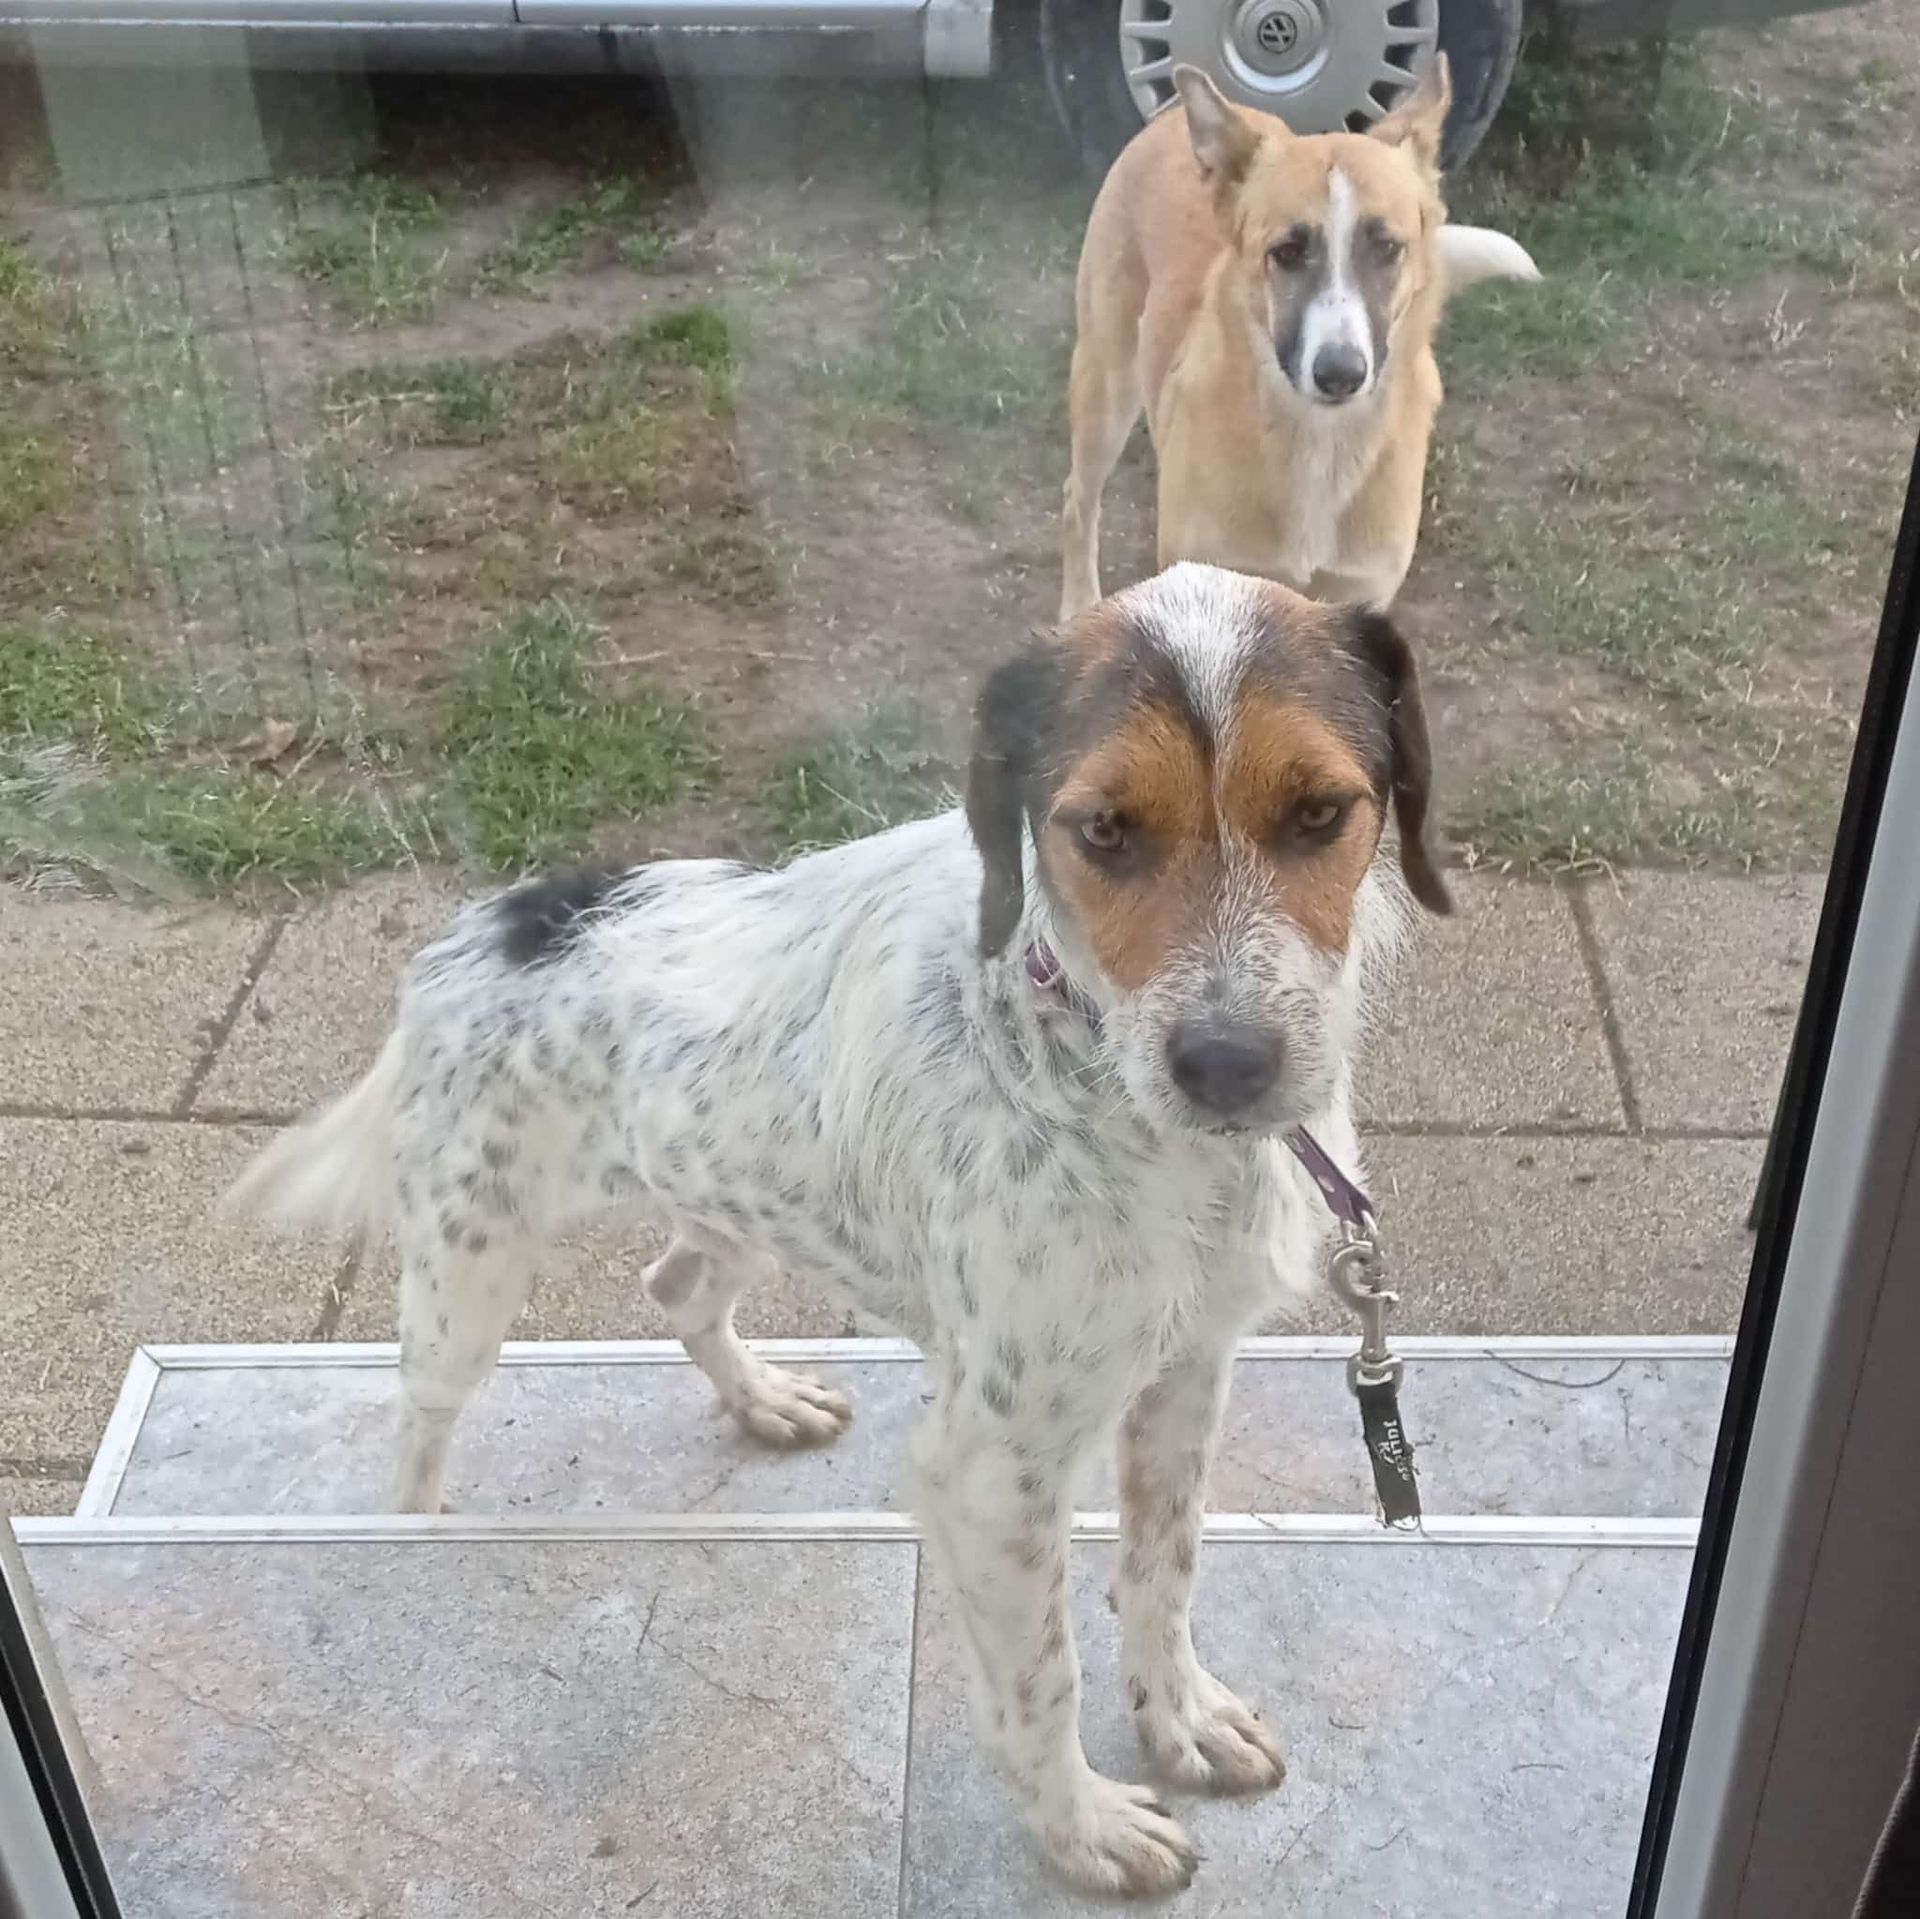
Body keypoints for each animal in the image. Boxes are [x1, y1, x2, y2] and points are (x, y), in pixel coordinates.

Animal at [228, 562, 1452, 1897]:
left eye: (1321, 811)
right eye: (1103, 830)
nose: (1230, 1067)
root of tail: (491, 919)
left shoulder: (1185, 1373)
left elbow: (1161, 1569)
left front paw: (1177, 1716)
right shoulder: (994, 1465)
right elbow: (1042, 1678)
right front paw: (1079, 1826)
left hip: (736, 1191)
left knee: (677, 1285)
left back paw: (762, 1398)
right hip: (468, 1268)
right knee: (419, 1418)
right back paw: (419, 1522)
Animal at [1060, 58, 1539, 622]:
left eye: (1387, 247)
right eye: (1287, 251)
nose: (1341, 375)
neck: (1318, 443)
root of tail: (1172, 116)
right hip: (1105, 387)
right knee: (1078, 499)